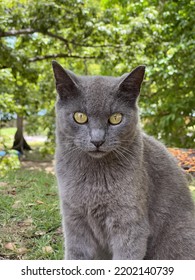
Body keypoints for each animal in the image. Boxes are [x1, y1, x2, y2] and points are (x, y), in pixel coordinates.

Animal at [51, 60, 195, 260]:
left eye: (116, 118)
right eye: (80, 117)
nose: (97, 141)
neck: (94, 177)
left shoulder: (129, 223)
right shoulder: (74, 219)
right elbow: (75, 255)